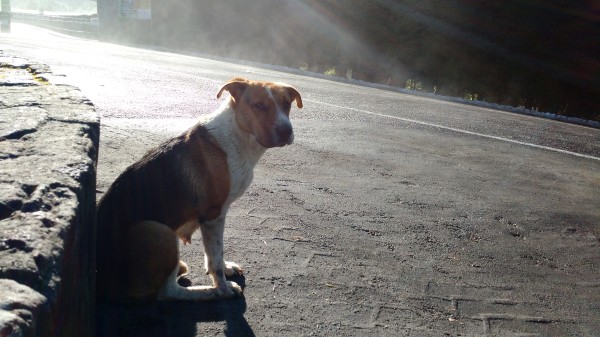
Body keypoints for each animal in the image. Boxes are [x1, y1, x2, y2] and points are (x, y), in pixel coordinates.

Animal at [99, 77, 304, 302]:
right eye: (259, 106)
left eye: (287, 104)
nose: (286, 131)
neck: (237, 135)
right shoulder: (213, 216)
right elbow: (215, 258)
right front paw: (223, 288)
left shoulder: (217, 217)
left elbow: (217, 254)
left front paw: (226, 268)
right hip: (160, 231)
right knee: (168, 292)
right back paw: (208, 291)